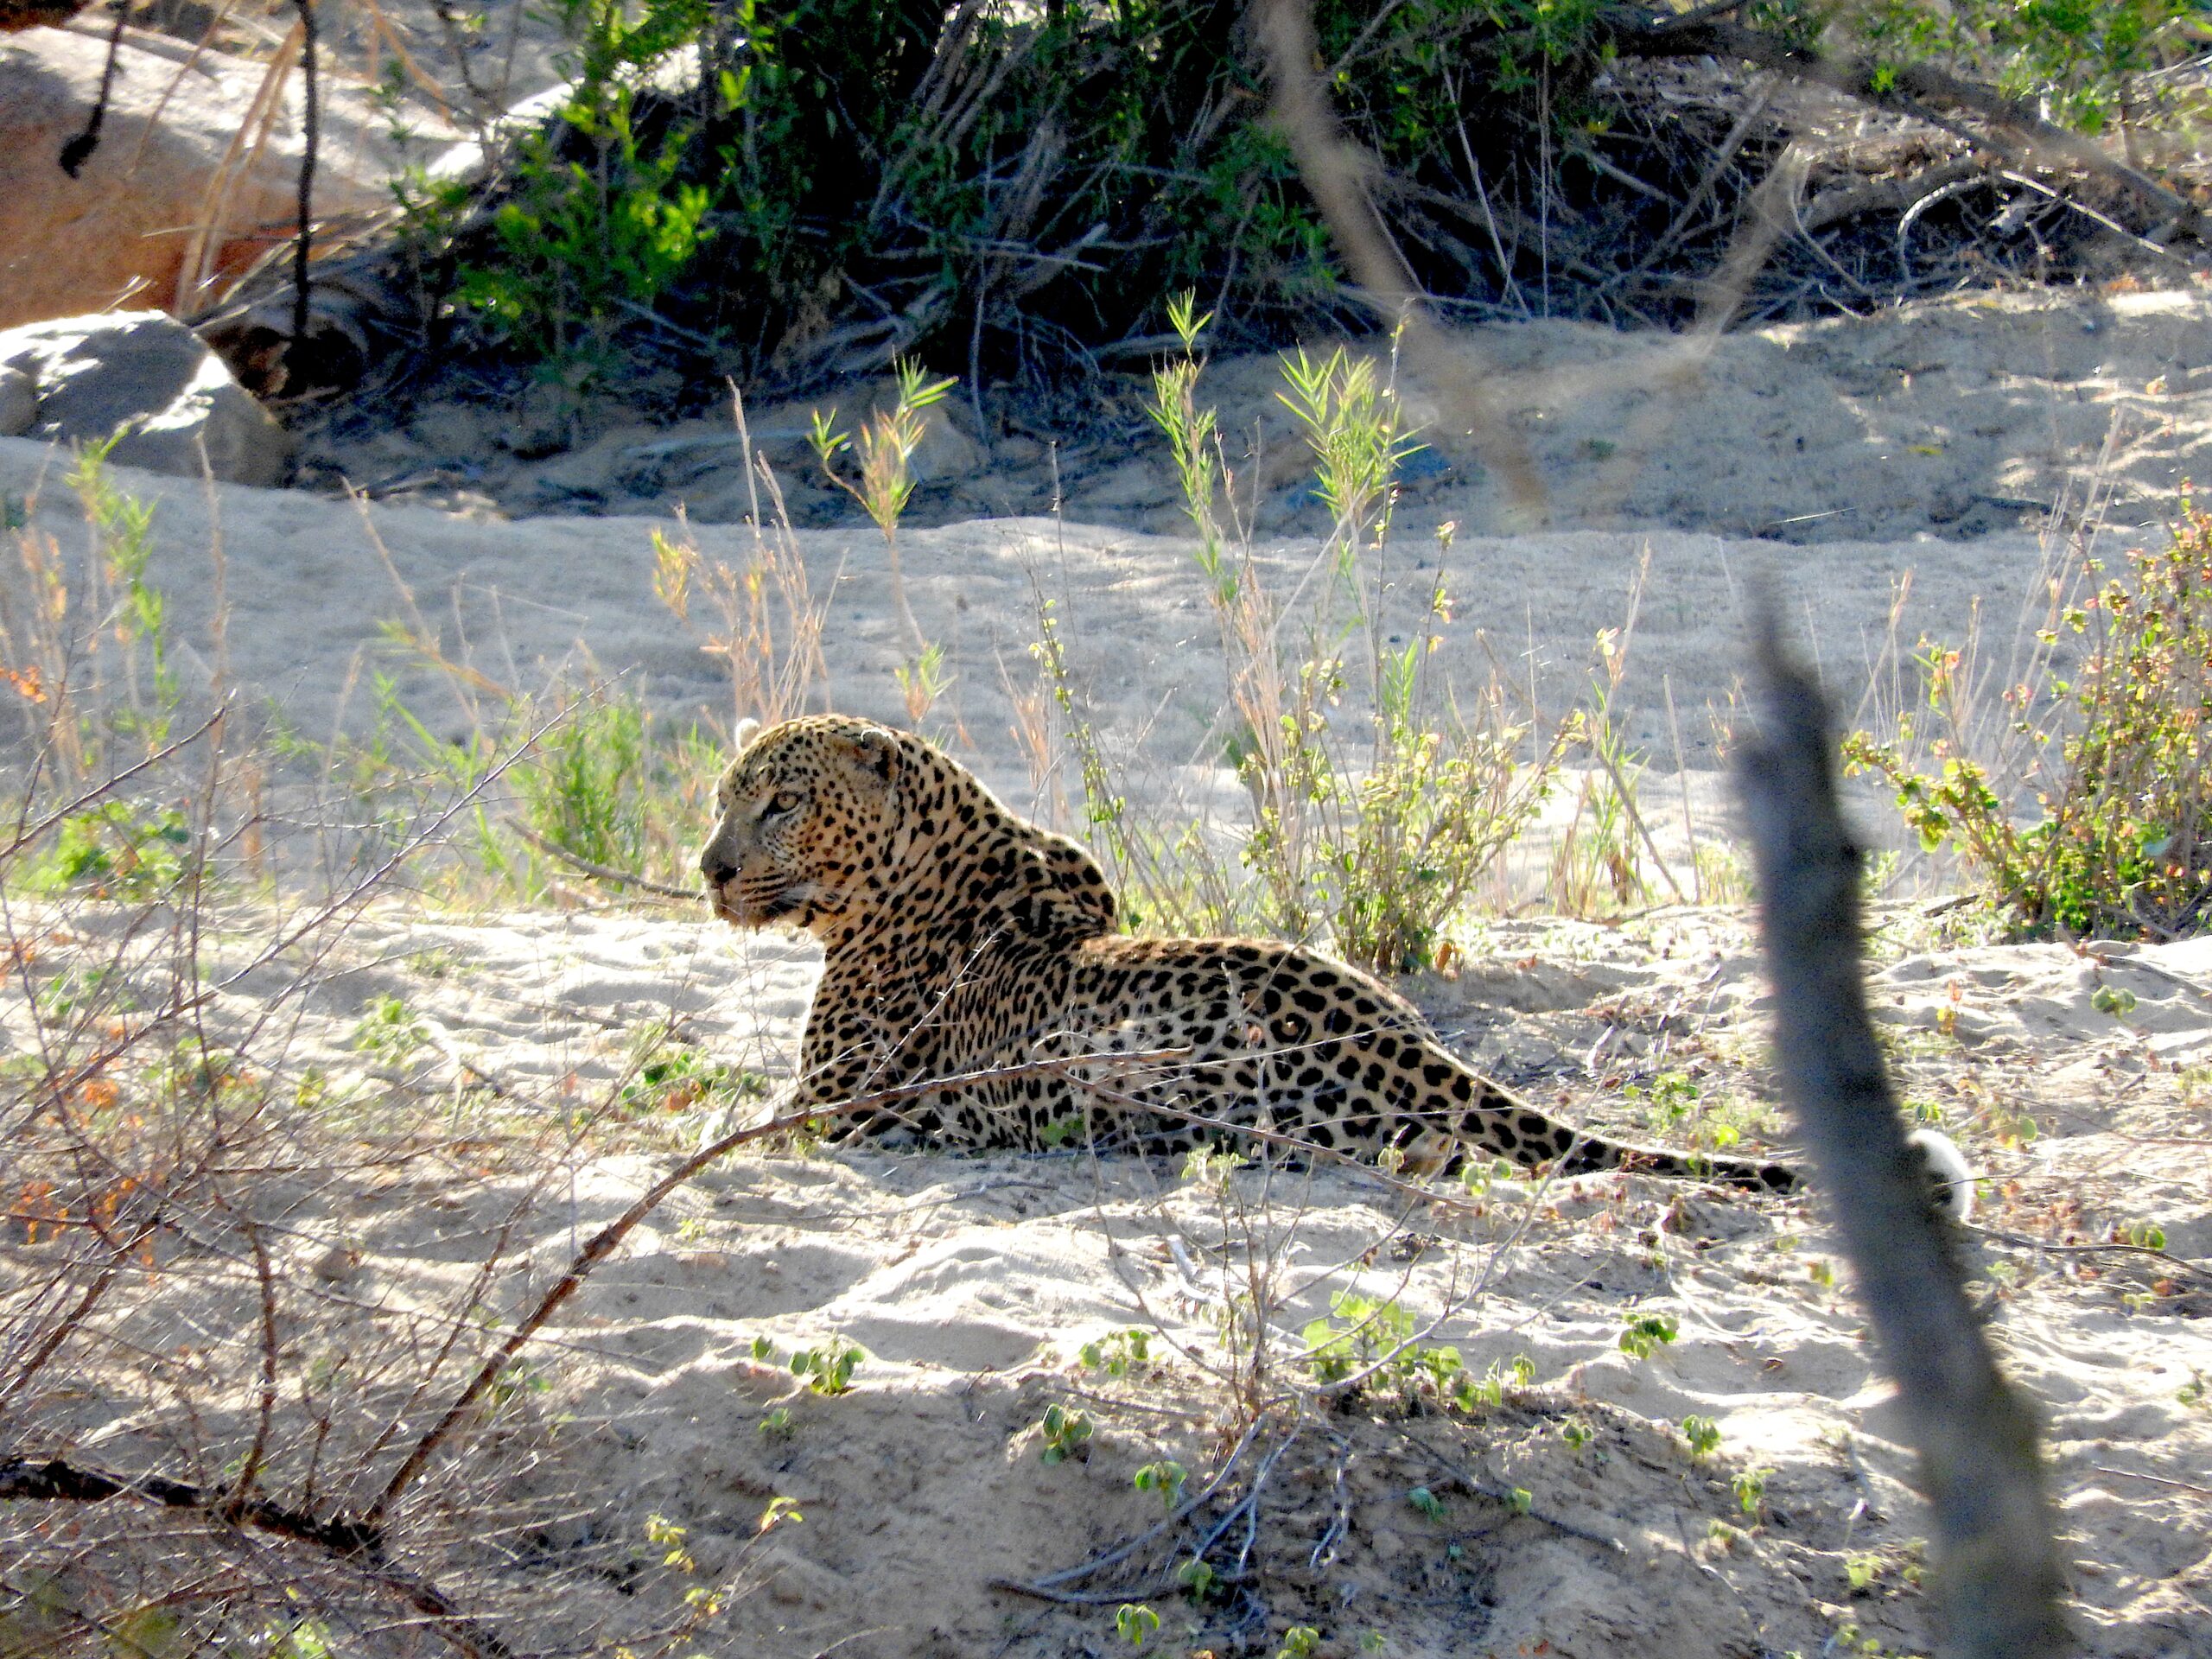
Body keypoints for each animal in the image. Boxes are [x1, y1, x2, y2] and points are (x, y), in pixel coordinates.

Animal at [694, 708, 1973, 1211]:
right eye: (722, 798)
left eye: (778, 805)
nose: (707, 868)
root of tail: (1415, 1049)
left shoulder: (830, 1103)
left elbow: (728, 1120)